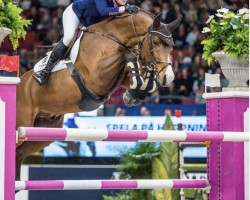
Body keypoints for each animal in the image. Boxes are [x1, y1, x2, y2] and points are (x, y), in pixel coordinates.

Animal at [15, 10, 181, 180]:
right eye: (155, 42)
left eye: (171, 46)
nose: (169, 78)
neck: (114, 36)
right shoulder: (97, 75)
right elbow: (126, 57)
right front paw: (134, 61)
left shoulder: (119, 78)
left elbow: (137, 73)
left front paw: (134, 93)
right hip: (23, 123)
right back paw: (41, 74)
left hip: (44, 131)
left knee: (19, 153)